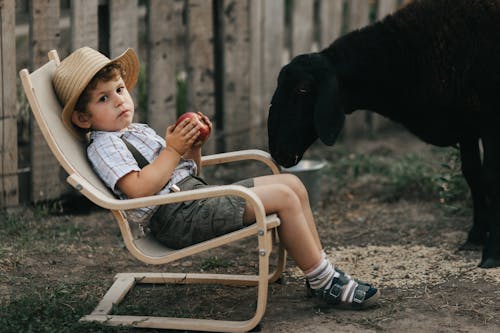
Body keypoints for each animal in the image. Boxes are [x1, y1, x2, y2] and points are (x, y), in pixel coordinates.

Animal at [268, 0, 500, 268]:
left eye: (303, 89)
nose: (278, 151)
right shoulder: (466, 122)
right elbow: (471, 173)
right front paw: (475, 236)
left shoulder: (490, 121)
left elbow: (490, 179)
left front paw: (492, 252)